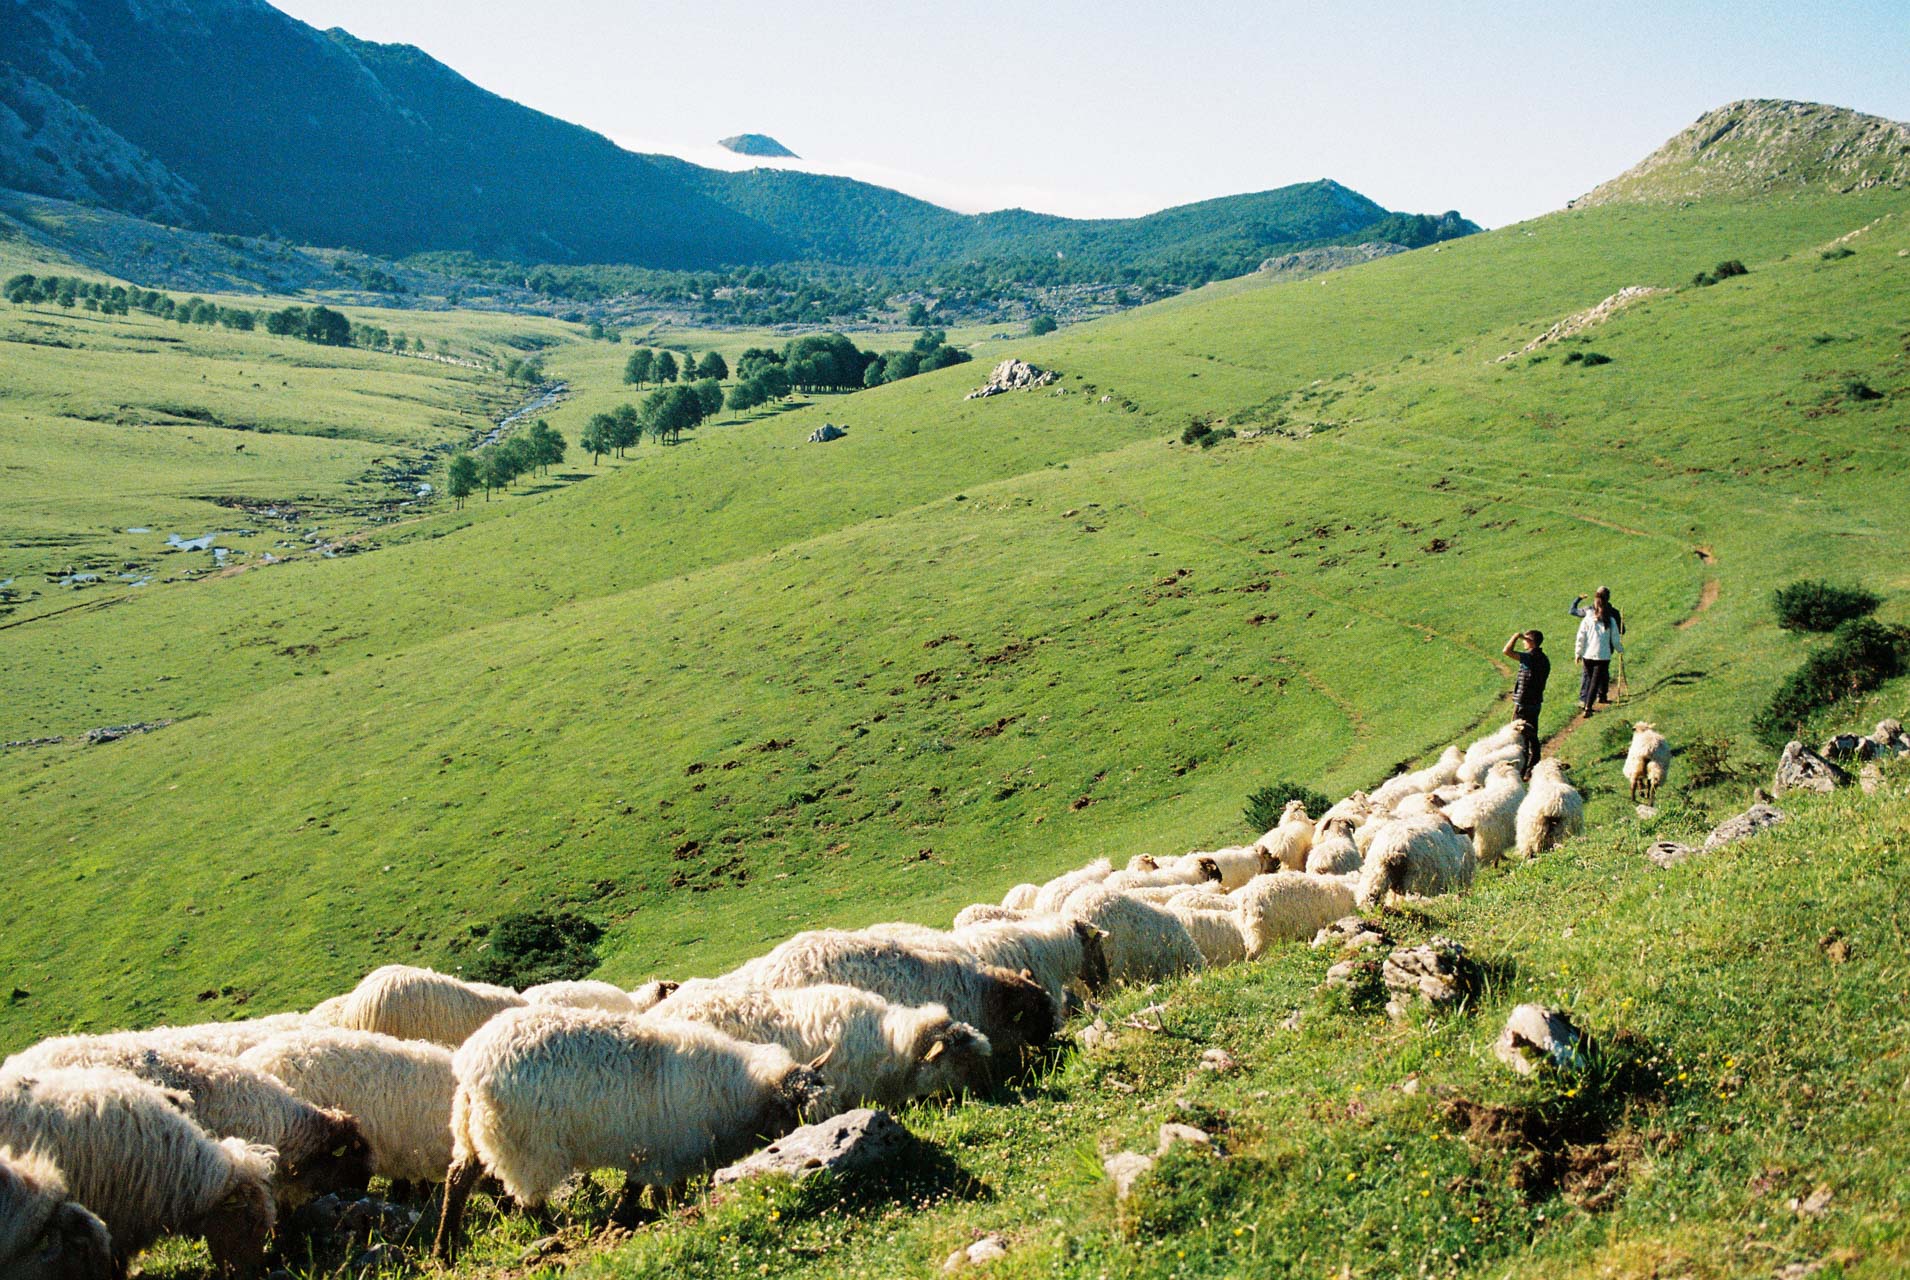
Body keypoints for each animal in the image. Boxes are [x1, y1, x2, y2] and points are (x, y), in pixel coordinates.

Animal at [434, 1007, 836, 1261]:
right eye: (796, 1115)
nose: (806, 1156)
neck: (739, 1093)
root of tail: (471, 1063)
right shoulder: (663, 1147)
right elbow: (640, 1189)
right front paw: (624, 1220)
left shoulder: (661, 1149)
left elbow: (649, 1189)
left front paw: (646, 1213)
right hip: (528, 1145)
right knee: (529, 1203)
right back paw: (558, 1237)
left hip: (473, 1133)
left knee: (458, 1180)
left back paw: (445, 1249)